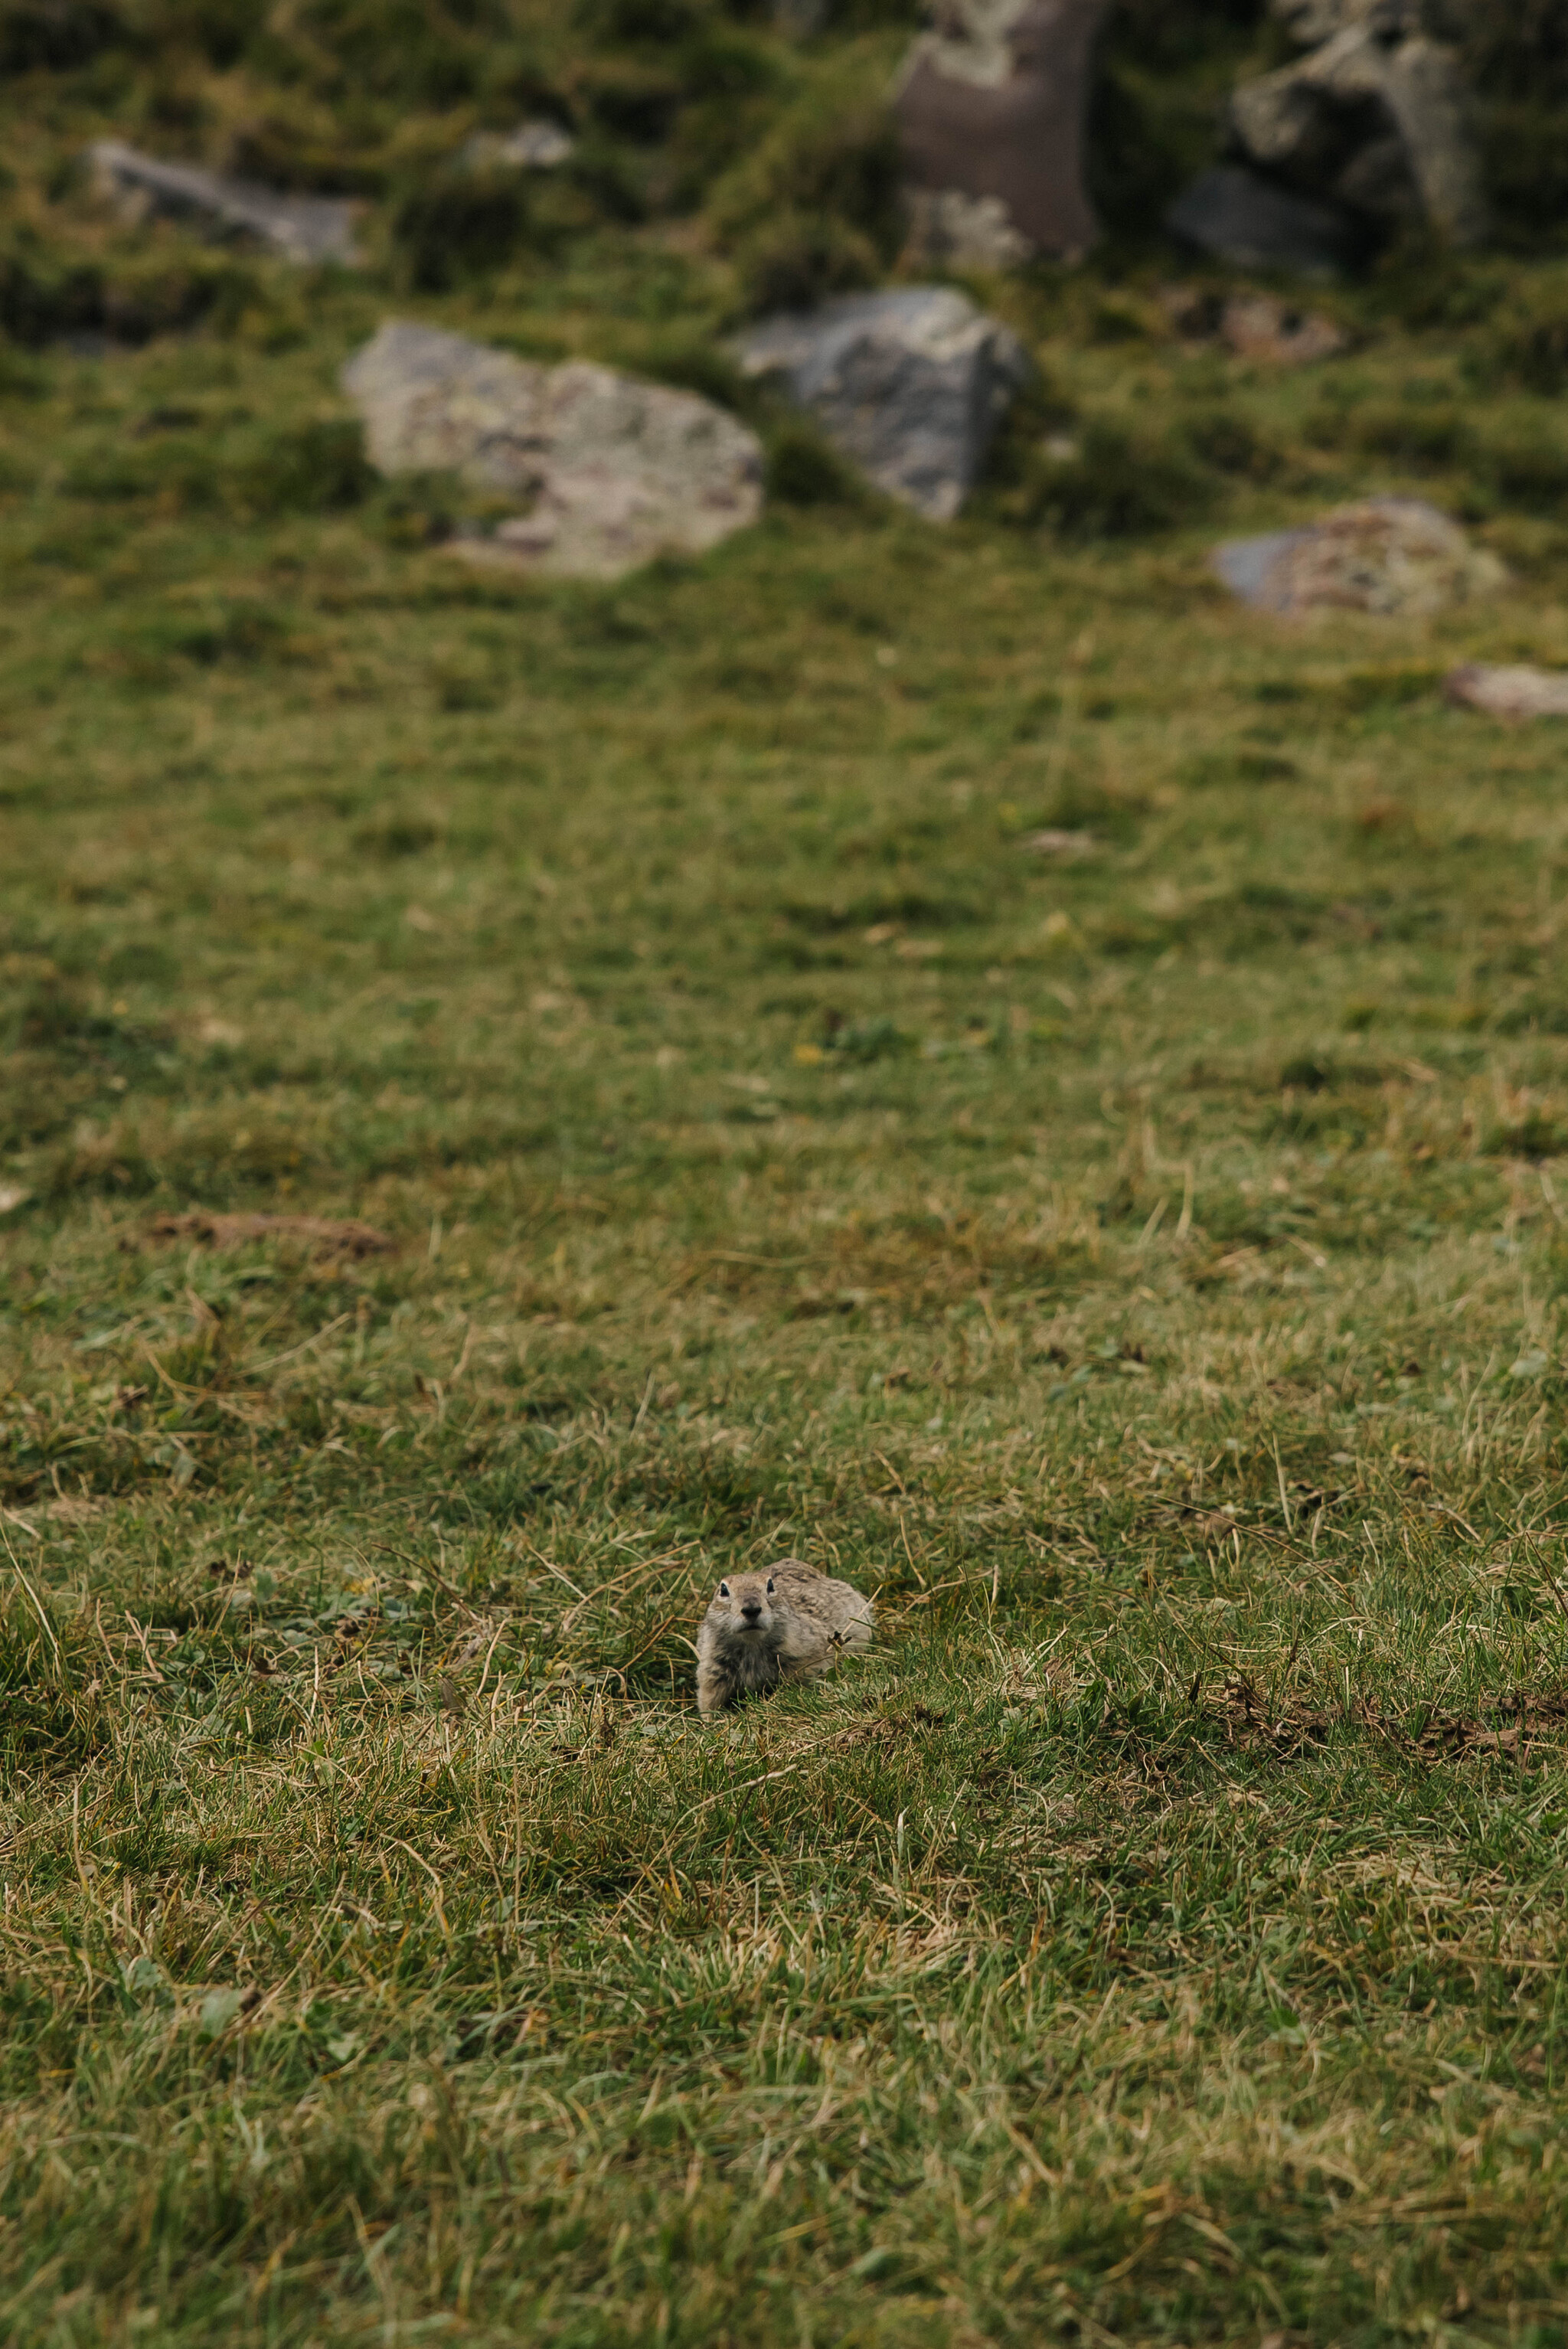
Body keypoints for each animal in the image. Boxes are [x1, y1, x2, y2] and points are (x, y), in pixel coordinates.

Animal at [694, 1550, 877, 1719]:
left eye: (770, 1586)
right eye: (723, 1590)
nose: (752, 1609)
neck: (752, 1644)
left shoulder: (804, 1660)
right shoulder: (712, 1670)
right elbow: (708, 1700)